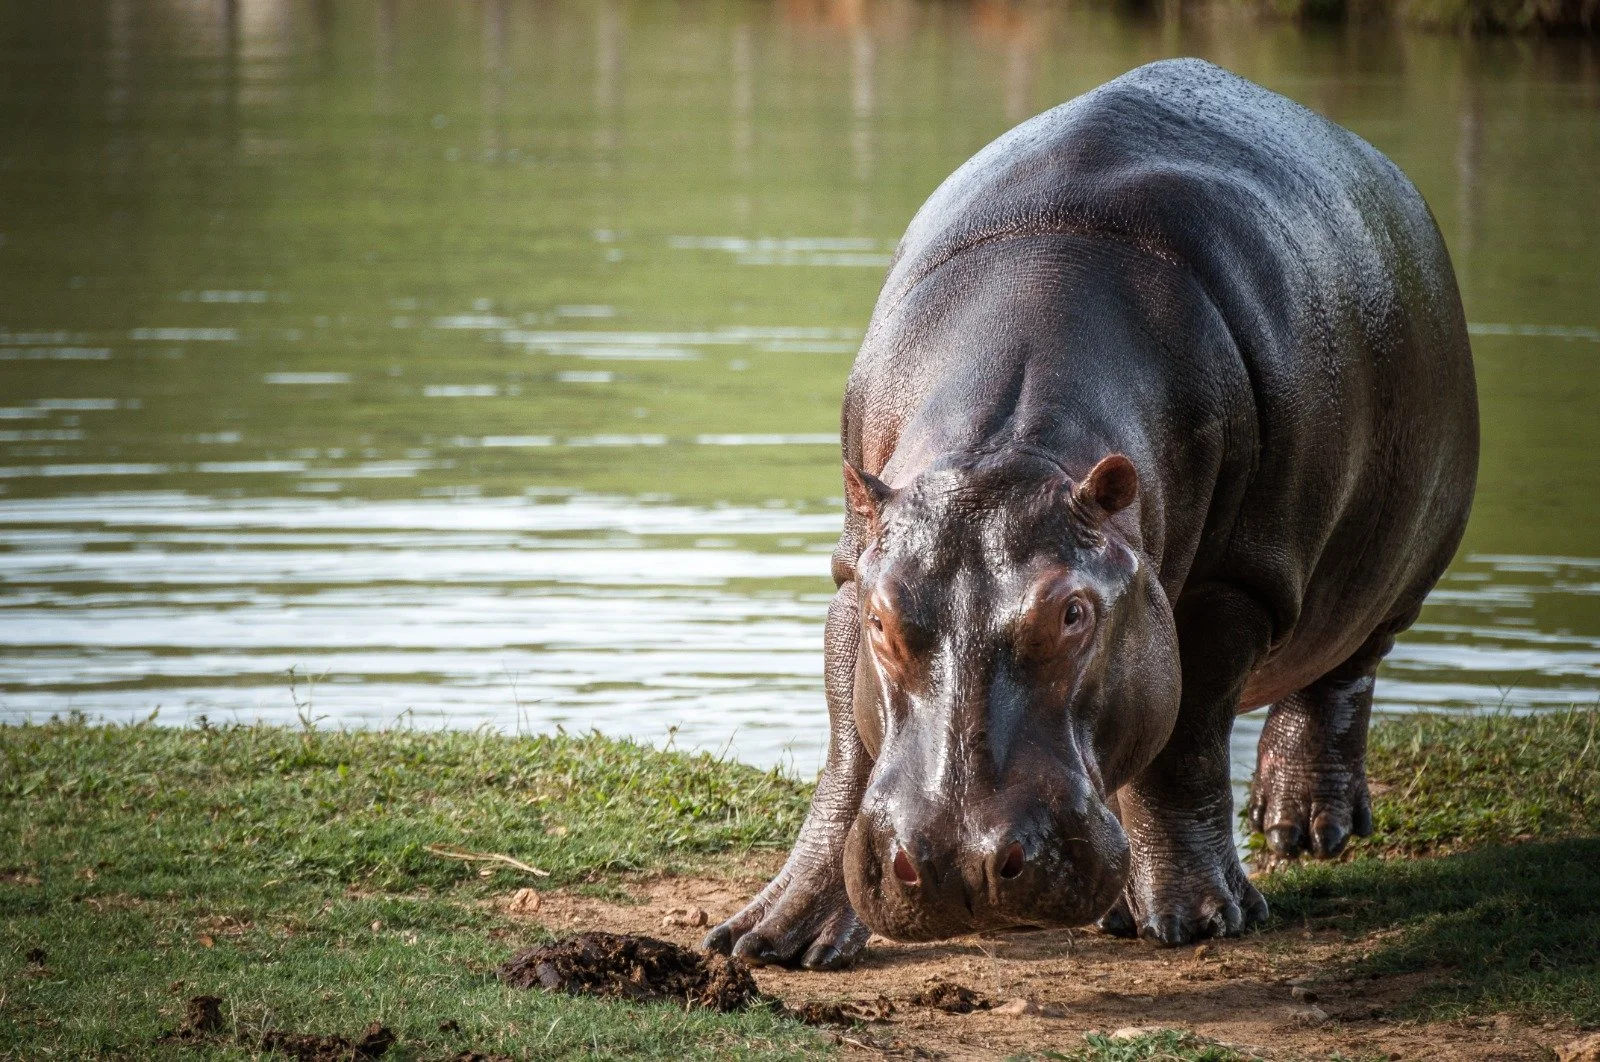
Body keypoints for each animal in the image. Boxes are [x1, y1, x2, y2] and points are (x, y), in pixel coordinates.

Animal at [705, 58, 1478, 967]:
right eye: (883, 622)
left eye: (1073, 612)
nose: (960, 864)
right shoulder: (854, 563)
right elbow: (849, 748)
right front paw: (769, 939)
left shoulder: (1231, 586)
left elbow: (1185, 746)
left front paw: (1199, 919)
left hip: (1400, 560)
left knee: (1343, 667)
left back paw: (1303, 828)